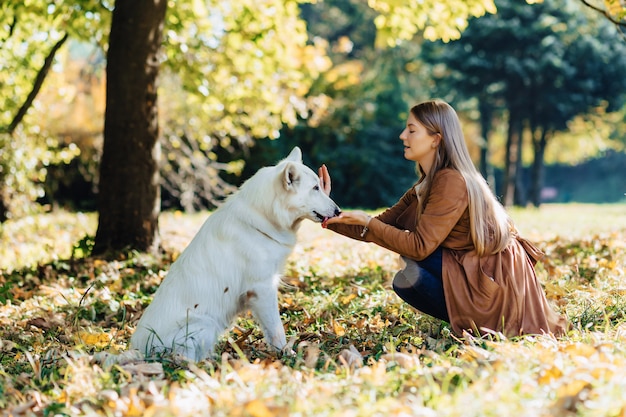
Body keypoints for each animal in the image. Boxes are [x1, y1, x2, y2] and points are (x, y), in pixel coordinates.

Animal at [129, 146, 338, 360]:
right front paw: (285, 353)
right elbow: (276, 329)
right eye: (315, 188)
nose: (338, 211)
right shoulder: (262, 289)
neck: (262, 217)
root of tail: (139, 351)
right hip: (205, 324)